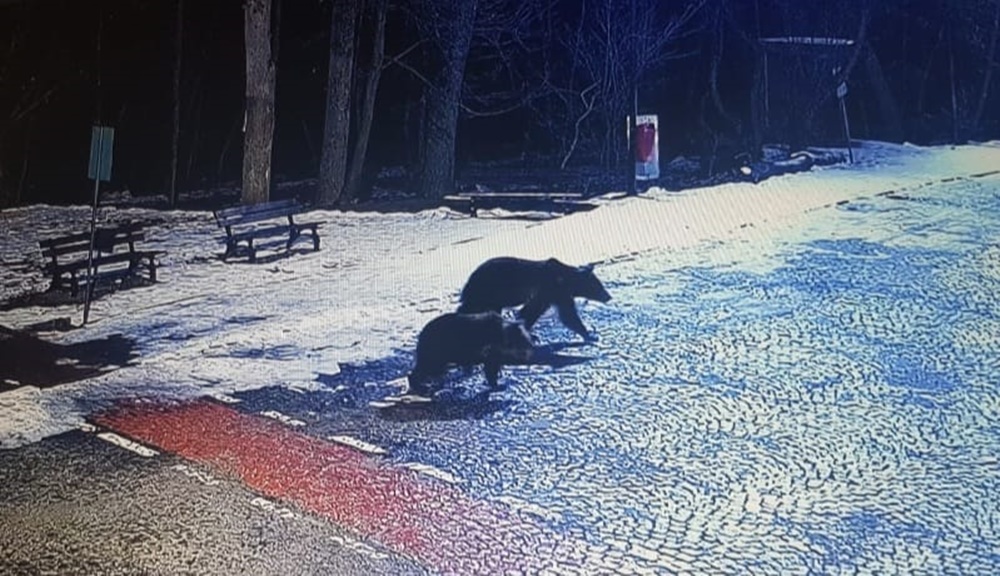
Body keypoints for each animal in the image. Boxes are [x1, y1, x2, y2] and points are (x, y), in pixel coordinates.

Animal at [406, 310, 536, 396]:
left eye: (527, 340)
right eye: (523, 342)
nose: (532, 348)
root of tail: (422, 338)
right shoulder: (490, 353)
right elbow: (490, 371)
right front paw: (497, 385)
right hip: (434, 356)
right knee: (422, 371)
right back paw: (421, 386)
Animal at [458, 258, 612, 342]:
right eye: (598, 285)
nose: (608, 296)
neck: (566, 280)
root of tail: (469, 281)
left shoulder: (554, 294)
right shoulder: (551, 290)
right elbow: (567, 315)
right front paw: (590, 335)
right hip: (487, 292)